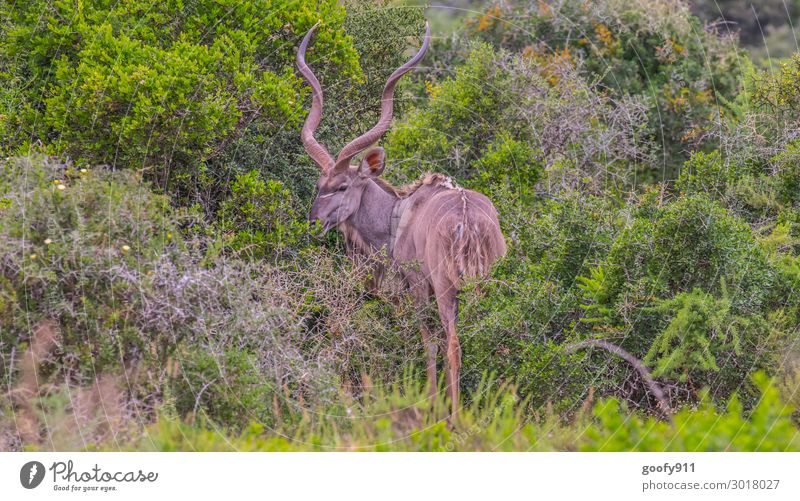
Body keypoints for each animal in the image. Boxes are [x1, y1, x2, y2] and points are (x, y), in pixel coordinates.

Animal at [300, 22, 506, 414]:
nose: (314, 223)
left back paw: (454, 416)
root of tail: (469, 222)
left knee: (452, 342)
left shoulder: (417, 284)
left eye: (343, 185)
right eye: (319, 185)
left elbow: (427, 340)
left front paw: (432, 405)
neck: (398, 215)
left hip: (447, 286)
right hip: (485, 283)